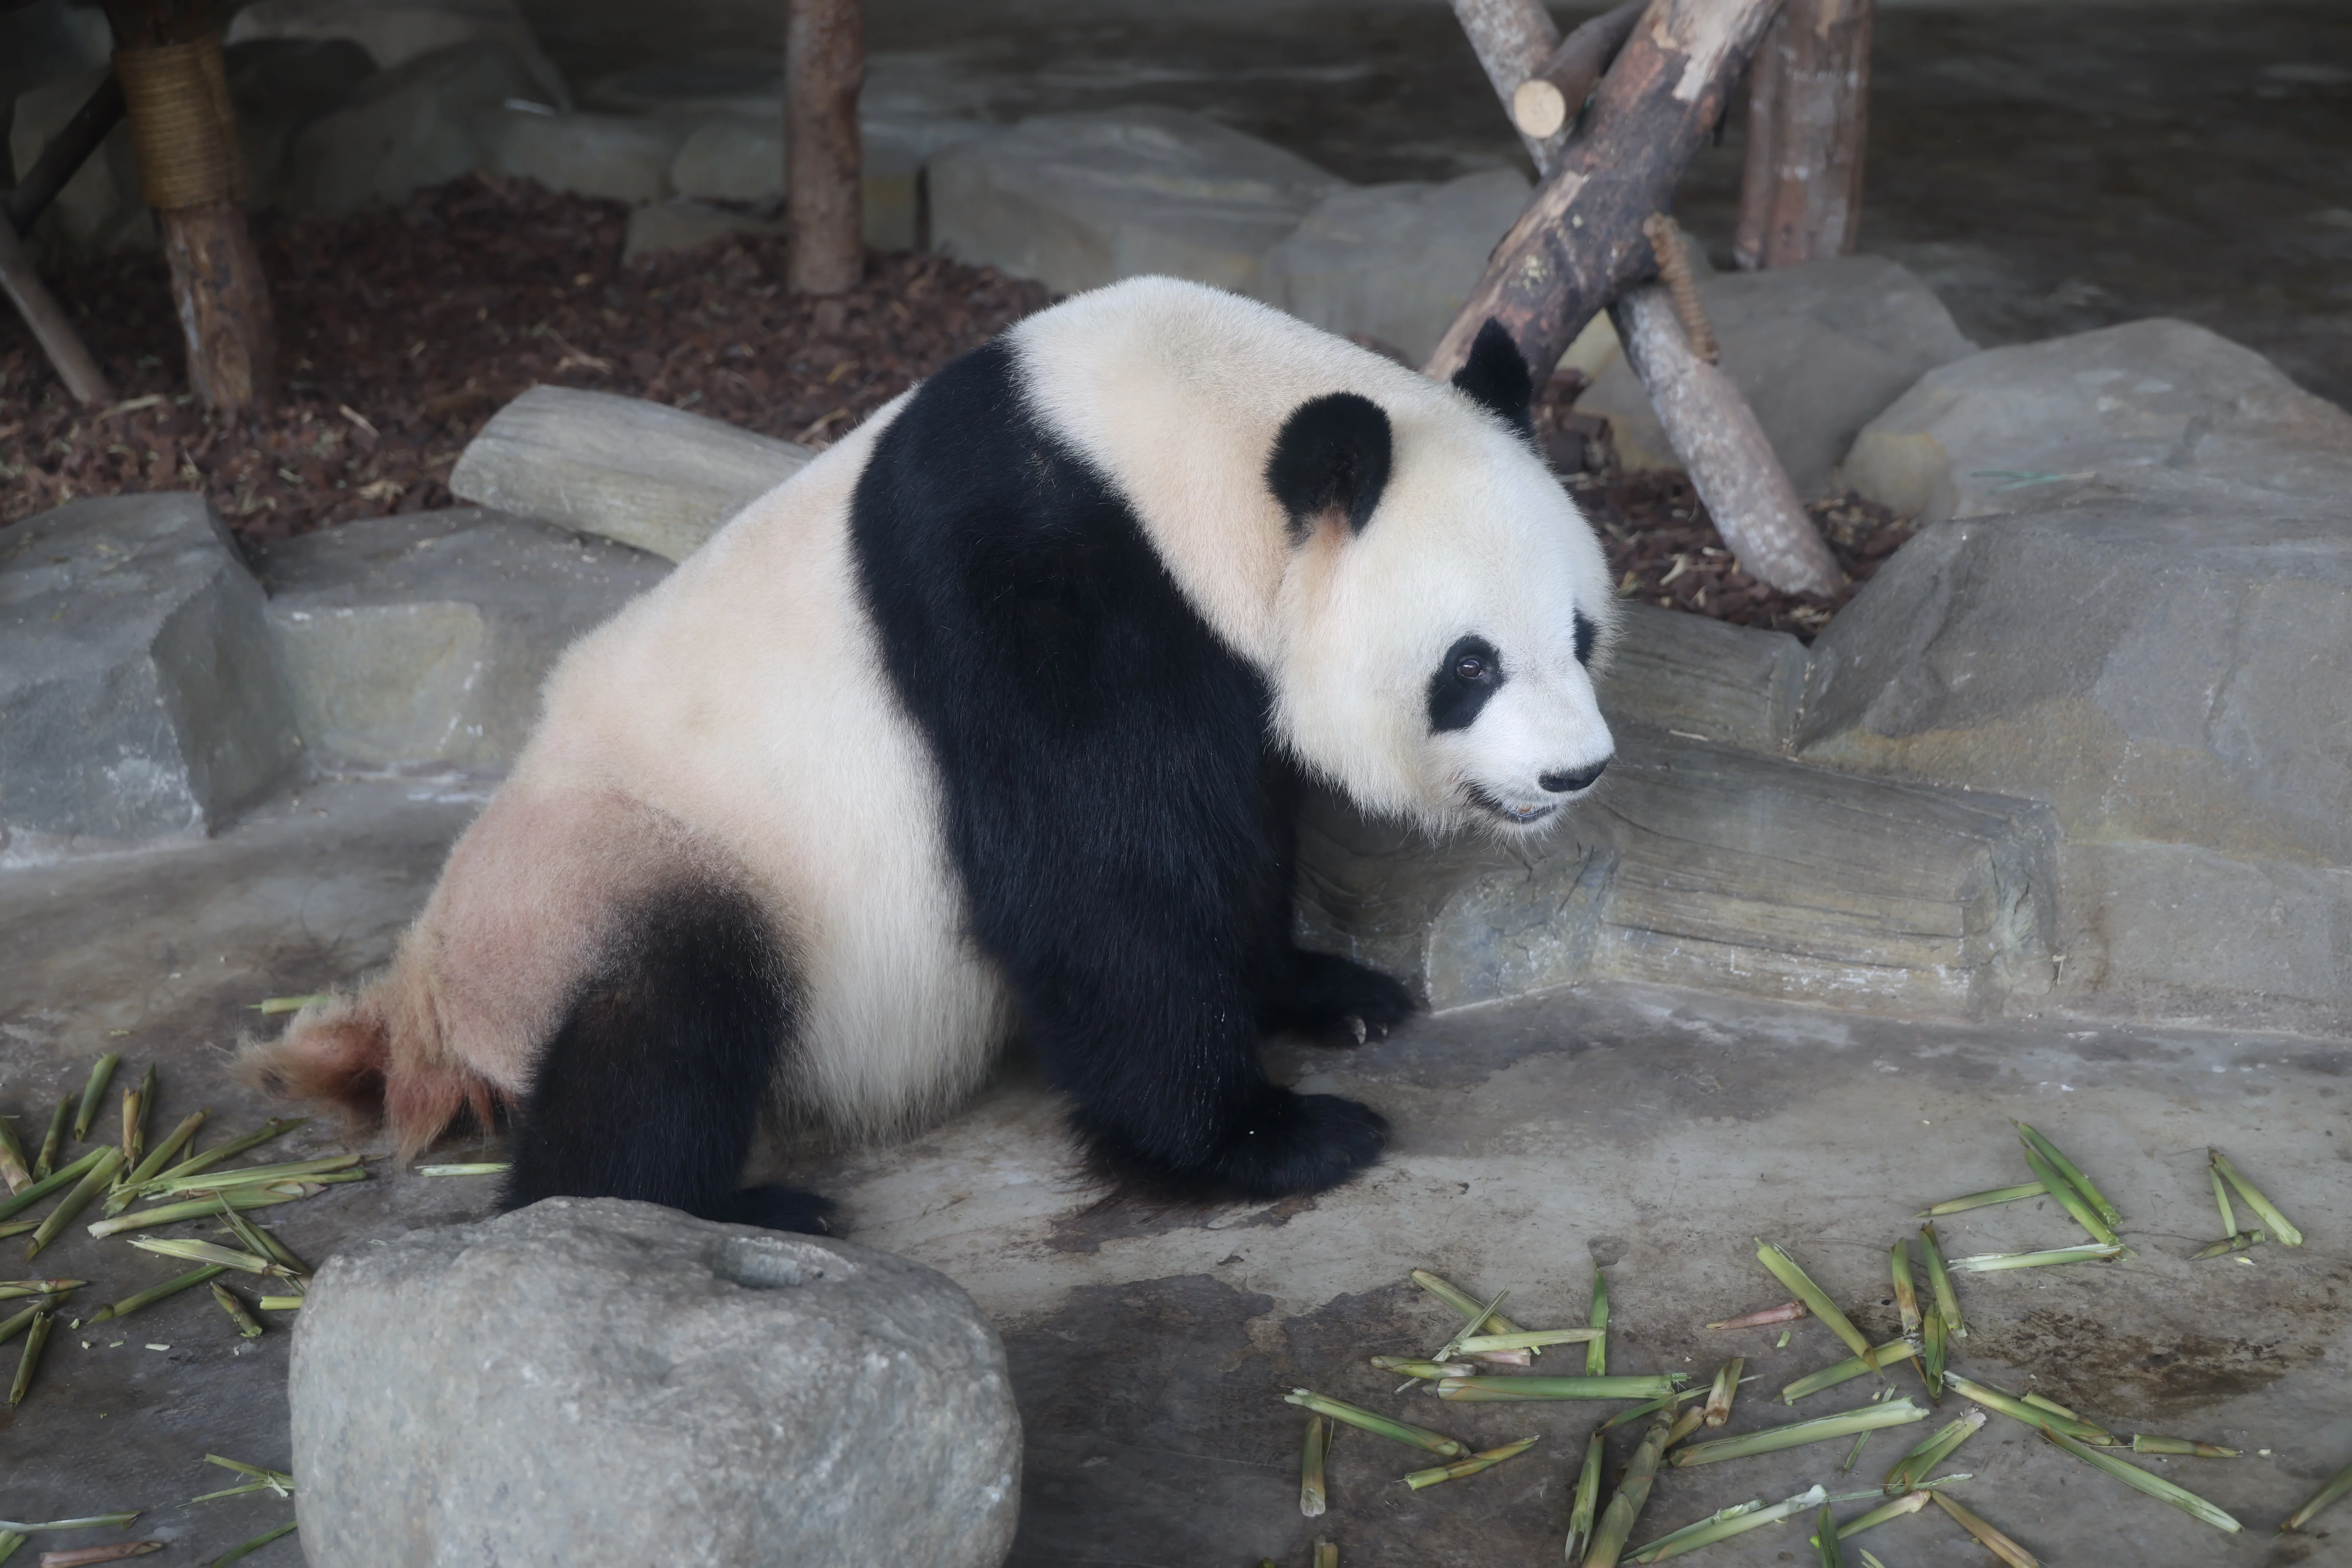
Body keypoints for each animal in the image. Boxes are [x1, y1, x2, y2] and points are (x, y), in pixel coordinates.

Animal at [241, 276, 1619, 1232]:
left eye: (1579, 633)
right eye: (1470, 665)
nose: (1575, 775)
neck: (1183, 440)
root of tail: (433, 993)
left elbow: (1232, 833)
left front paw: (1327, 992)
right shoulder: (1038, 577)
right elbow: (1103, 880)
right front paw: (1263, 1138)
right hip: (623, 867)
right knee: (666, 1020)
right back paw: (716, 1208)